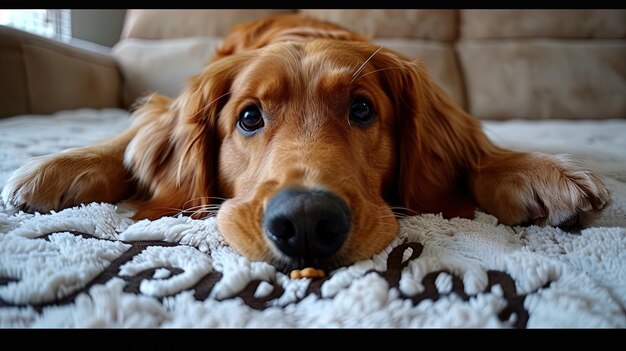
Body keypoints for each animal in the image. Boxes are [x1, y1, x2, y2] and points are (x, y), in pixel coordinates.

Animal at [1, 14, 604, 272]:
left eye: (362, 109)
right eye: (249, 117)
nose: (308, 221)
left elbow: (481, 151)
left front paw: (536, 171)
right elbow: (134, 132)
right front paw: (59, 167)